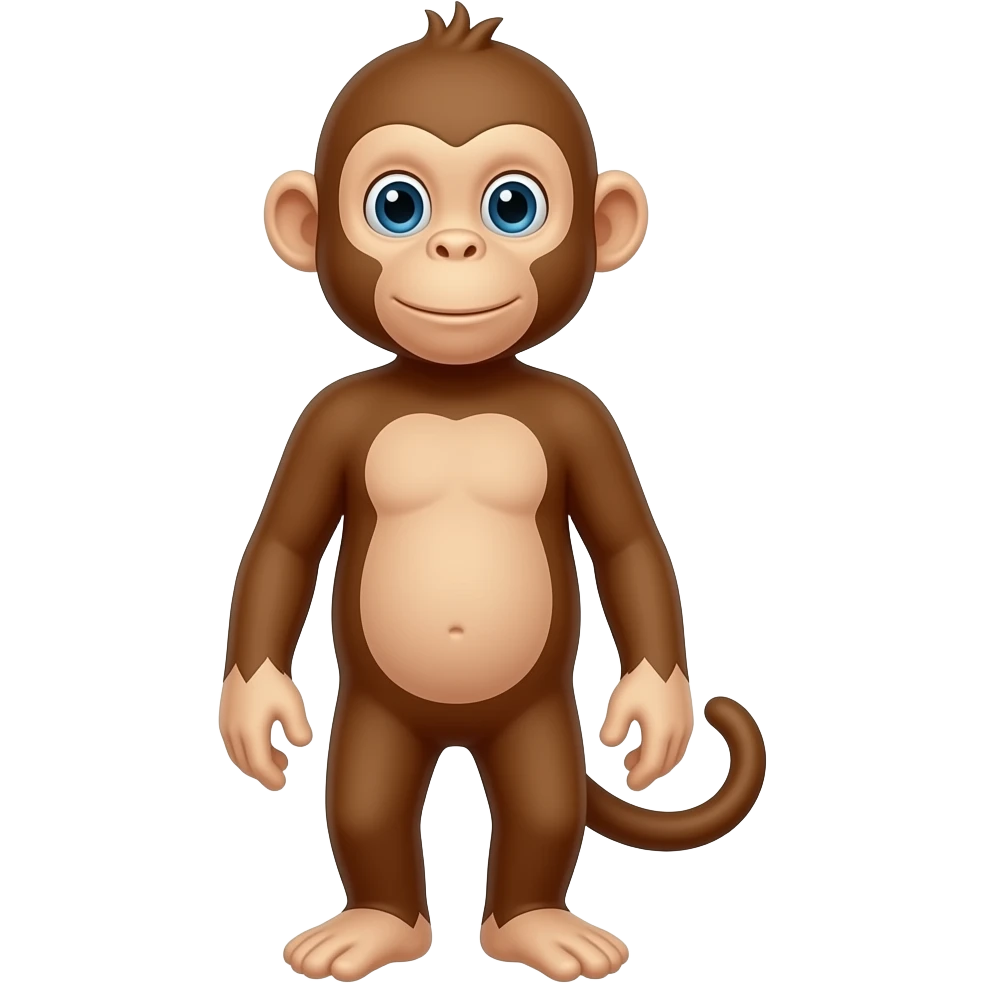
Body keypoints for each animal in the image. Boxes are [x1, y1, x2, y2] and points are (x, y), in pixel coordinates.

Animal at [220, 4, 767, 981]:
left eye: (513, 205)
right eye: (397, 204)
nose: (456, 245)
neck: (457, 388)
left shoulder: (587, 420)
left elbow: (628, 544)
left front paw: (655, 711)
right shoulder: (325, 420)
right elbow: (282, 543)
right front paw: (256, 712)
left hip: (536, 713)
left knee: (544, 800)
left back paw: (535, 926)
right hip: (379, 714)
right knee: (365, 799)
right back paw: (378, 925)